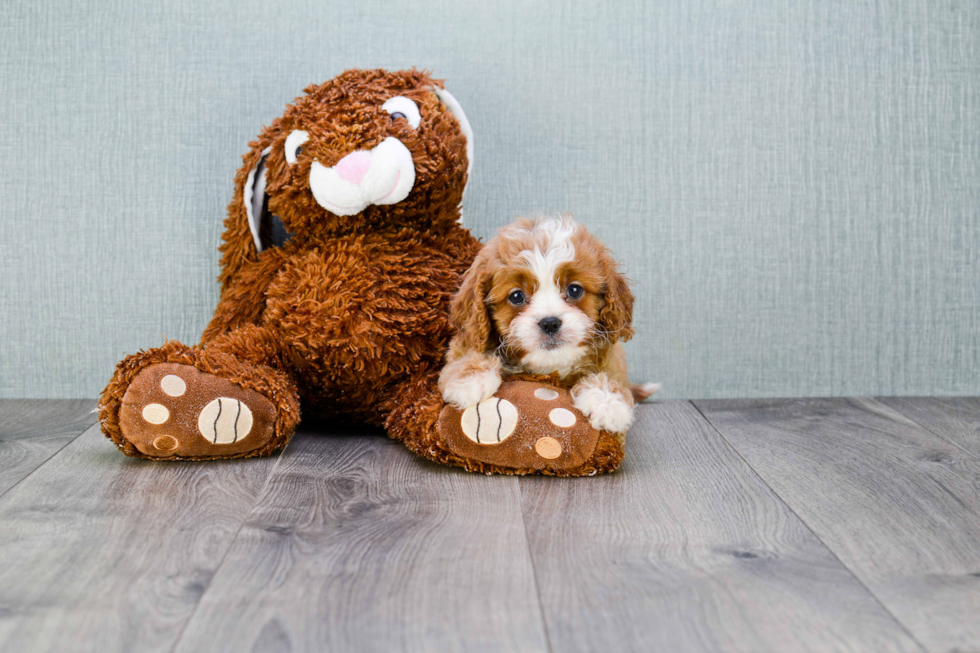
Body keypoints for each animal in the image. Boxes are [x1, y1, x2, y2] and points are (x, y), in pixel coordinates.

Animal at [438, 215, 660, 438]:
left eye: (574, 290)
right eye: (516, 296)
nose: (550, 323)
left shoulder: (611, 353)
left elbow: (609, 371)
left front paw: (607, 400)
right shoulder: (468, 336)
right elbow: (466, 351)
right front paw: (471, 378)